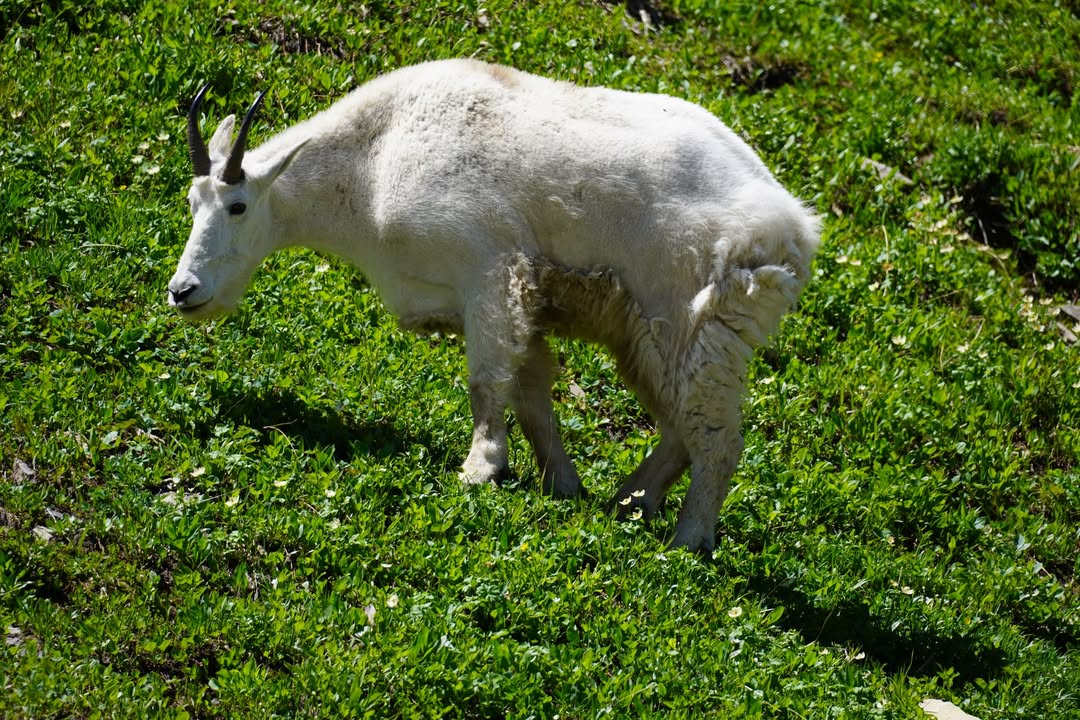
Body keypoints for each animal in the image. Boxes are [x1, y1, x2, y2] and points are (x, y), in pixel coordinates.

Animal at [167, 59, 819, 552]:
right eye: (192, 201)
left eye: (238, 206)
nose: (183, 291)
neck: (373, 160)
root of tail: (793, 230)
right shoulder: (511, 300)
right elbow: (531, 395)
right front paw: (562, 485)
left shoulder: (489, 273)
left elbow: (486, 382)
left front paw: (481, 469)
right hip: (646, 336)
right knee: (680, 425)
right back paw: (629, 499)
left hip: (701, 324)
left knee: (715, 437)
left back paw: (689, 538)